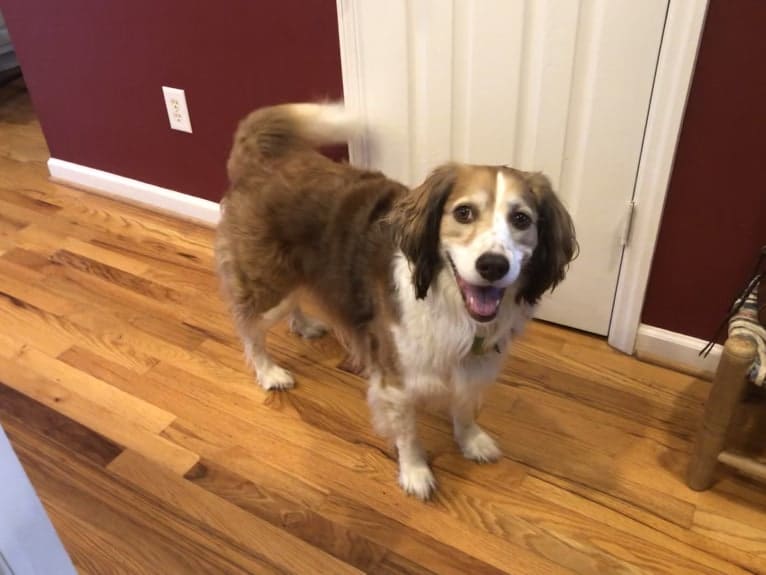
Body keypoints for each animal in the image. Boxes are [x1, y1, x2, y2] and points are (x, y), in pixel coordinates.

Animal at [216, 103, 576, 500]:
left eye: (521, 219)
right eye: (463, 213)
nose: (493, 265)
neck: (450, 303)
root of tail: (262, 159)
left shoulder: (472, 367)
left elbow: (465, 406)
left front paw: (470, 441)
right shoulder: (396, 382)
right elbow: (409, 435)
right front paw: (415, 473)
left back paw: (304, 325)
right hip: (269, 286)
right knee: (249, 327)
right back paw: (269, 372)